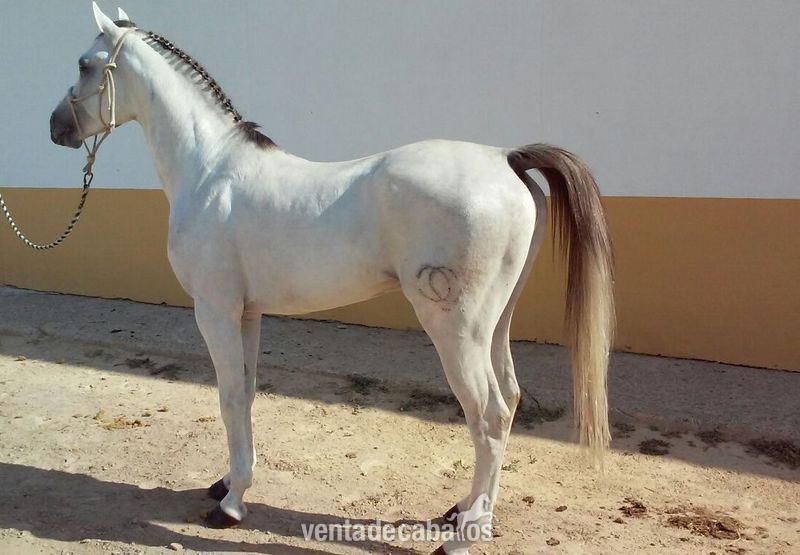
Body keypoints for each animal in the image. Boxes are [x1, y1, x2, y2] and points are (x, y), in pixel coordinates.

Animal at [49, 5, 614, 553]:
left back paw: (463, 537)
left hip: (458, 331)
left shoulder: (214, 311)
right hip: (496, 324)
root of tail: (506, 159)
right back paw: (465, 513)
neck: (209, 171)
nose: (56, 128)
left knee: (489, 415)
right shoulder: (248, 313)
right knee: (510, 401)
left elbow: (228, 397)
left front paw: (230, 506)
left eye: (84, 64)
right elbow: (246, 393)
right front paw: (229, 482)